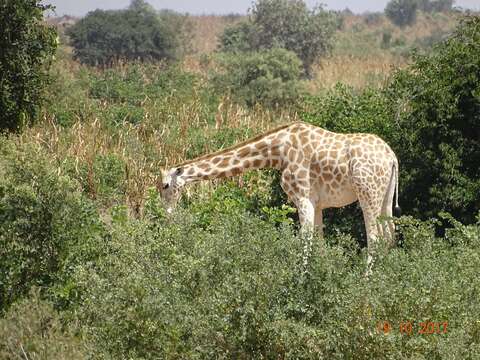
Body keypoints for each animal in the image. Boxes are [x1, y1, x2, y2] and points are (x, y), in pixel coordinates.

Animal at [158, 122, 402, 268]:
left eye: (165, 186)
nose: (167, 214)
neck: (277, 153)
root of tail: (391, 156)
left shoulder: (302, 197)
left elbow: (305, 240)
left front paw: (300, 280)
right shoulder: (317, 203)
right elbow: (319, 242)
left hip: (367, 193)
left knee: (375, 238)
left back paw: (366, 280)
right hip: (385, 196)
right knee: (390, 235)